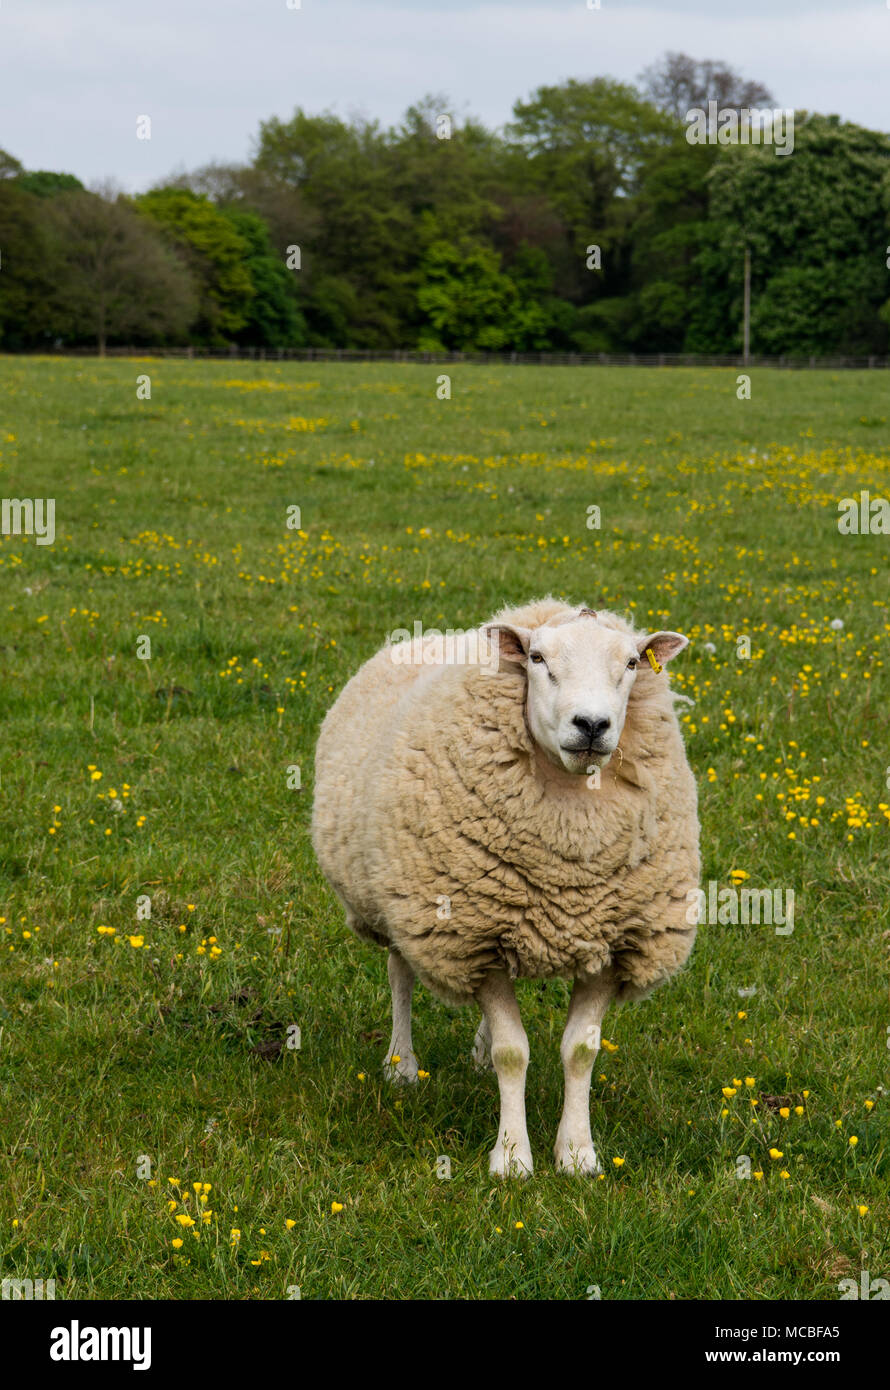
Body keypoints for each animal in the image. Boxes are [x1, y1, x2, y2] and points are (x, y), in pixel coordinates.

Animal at [312, 592, 700, 1178]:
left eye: (632, 663)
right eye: (538, 659)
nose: (592, 724)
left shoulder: (612, 944)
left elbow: (581, 1050)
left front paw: (577, 1154)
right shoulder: (472, 935)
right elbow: (512, 1052)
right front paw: (513, 1157)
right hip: (403, 904)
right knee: (400, 975)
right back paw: (401, 1065)